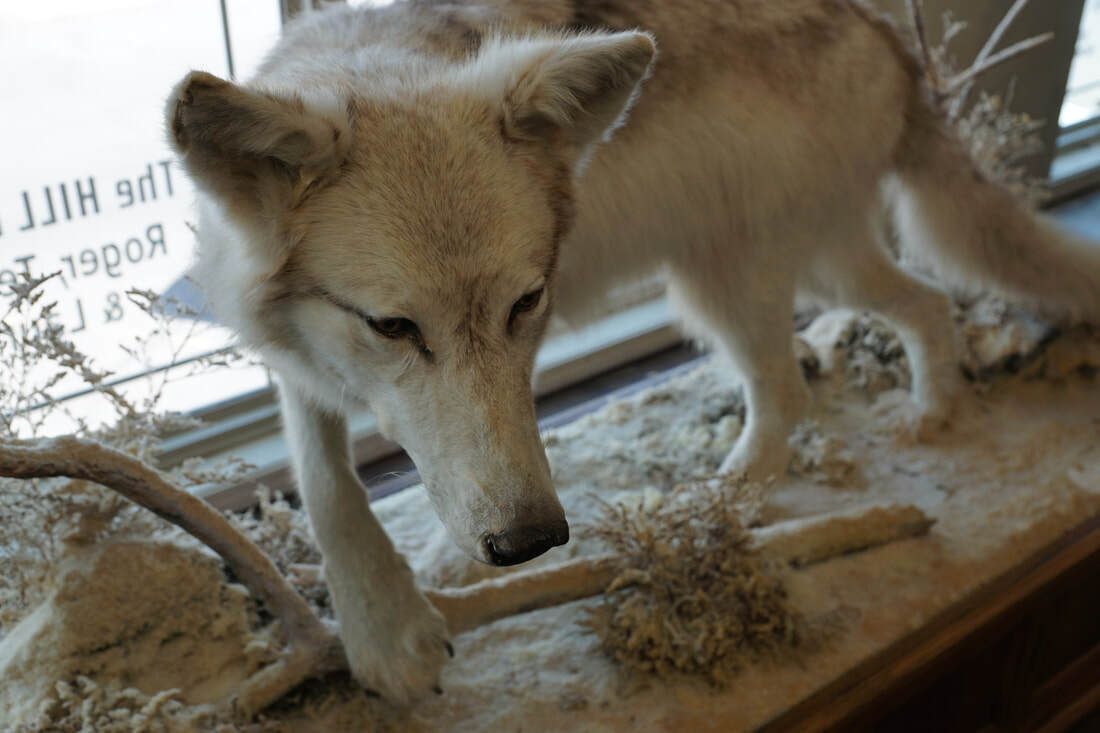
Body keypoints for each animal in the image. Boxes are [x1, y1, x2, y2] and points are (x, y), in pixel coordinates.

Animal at [166, 0, 1100, 703]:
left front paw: (407, 608)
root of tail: (894, 40)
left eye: (525, 302)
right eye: (393, 327)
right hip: (795, 272)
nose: (531, 542)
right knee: (920, 305)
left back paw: (745, 492)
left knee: (806, 381)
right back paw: (928, 411)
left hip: (741, 285)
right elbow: (329, 483)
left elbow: (417, 470)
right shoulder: (294, 359)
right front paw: (388, 618)